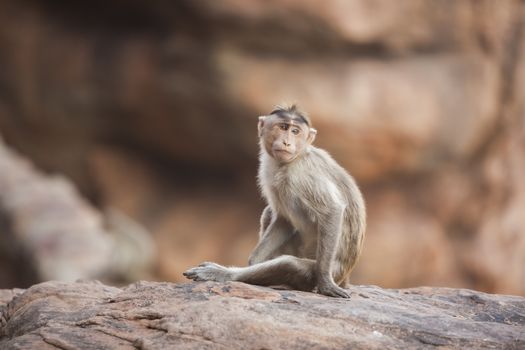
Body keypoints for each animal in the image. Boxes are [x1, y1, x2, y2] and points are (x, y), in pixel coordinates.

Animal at [183, 104, 364, 298]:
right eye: (283, 127)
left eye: (295, 131)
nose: (287, 142)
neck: (291, 161)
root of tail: (345, 277)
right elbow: (283, 219)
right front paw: (254, 261)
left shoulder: (302, 175)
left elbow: (332, 211)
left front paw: (325, 282)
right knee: (269, 213)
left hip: (323, 268)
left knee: (290, 264)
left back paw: (223, 273)